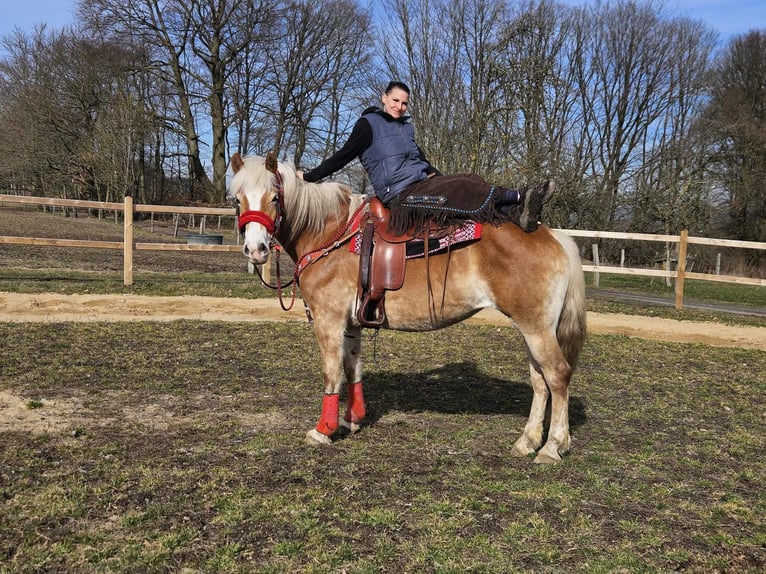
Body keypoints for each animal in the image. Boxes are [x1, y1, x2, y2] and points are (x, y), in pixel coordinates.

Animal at [228, 152, 588, 464]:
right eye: (238, 200)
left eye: (275, 198)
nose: (256, 250)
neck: (329, 233)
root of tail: (554, 235)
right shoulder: (352, 325)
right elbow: (353, 370)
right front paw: (352, 420)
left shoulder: (328, 322)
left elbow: (332, 374)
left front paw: (323, 430)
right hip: (533, 329)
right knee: (540, 381)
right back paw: (528, 441)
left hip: (536, 329)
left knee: (557, 375)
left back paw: (552, 446)